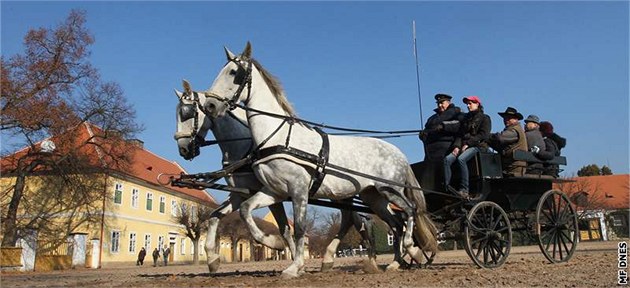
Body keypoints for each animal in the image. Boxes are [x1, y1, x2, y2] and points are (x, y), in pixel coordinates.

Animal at [175, 81, 378, 272]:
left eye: (186, 112)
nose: (183, 149)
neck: (248, 146)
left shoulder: (273, 193)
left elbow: (284, 228)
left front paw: (286, 252)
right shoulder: (241, 193)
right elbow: (214, 216)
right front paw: (212, 259)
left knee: (352, 219)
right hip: (340, 193)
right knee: (351, 218)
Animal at [202, 41, 440, 278]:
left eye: (234, 73)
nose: (210, 105)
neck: (279, 137)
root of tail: (398, 153)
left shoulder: (298, 190)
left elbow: (299, 227)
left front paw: (294, 266)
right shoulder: (274, 191)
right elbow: (246, 210)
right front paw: (273, 243)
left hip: (390, 190)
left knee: (410, 211)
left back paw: (412, 250)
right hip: (374, 197)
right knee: (396, 224)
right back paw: (395, 263)